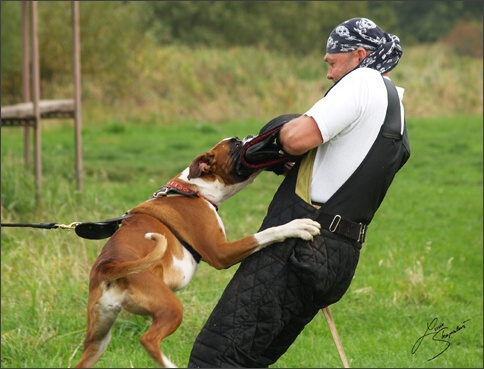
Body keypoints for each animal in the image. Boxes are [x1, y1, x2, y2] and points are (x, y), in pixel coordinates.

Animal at [73, 136, 322, 368]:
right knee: (148, 339)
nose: (250, 136)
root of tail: (109, 266)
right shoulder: (220, 252)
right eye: (235, 143)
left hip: (98, 339)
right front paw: (297, 226)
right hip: (170, 308)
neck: (193, 190)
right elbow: (264, 234)